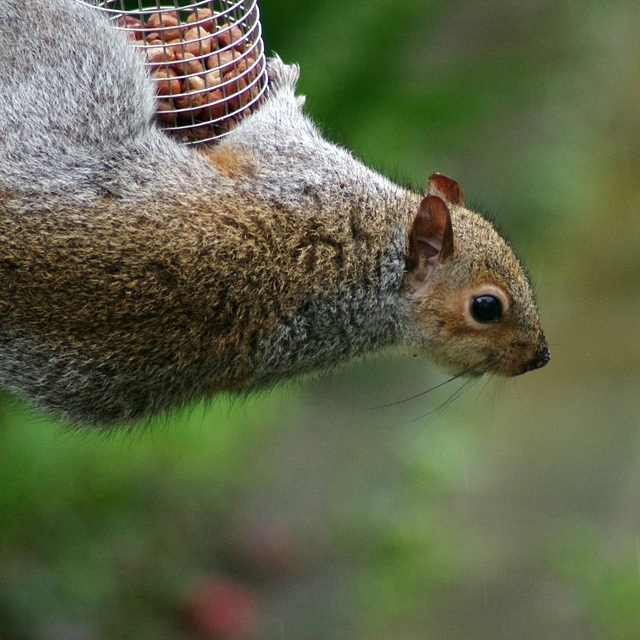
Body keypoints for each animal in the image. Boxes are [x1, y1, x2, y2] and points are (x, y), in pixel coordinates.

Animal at [0, 1, 552, 430]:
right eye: (487, 307)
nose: (539, 358)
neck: (374, 267)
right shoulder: (311, 179)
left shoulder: (304, 175)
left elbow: (270, 131)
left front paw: (283, 85)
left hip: (81, 76)